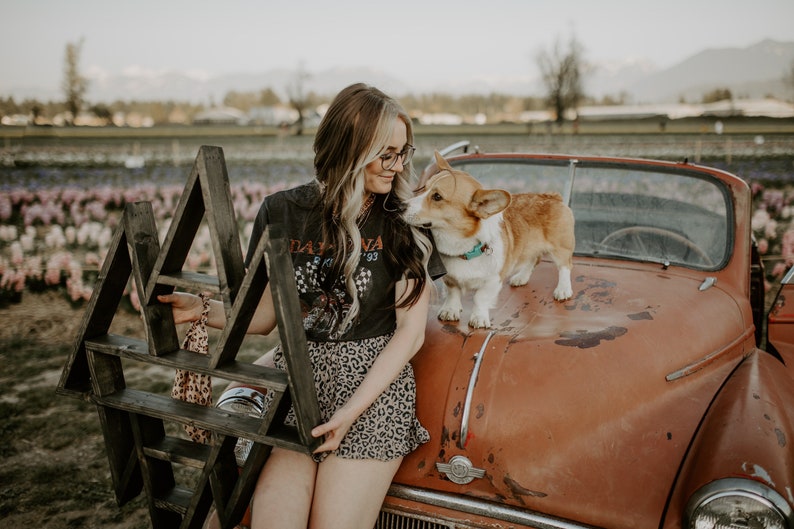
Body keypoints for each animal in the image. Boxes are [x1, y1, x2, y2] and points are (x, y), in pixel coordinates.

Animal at [406, 151, 572, 328]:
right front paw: (450, 310)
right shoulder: (450, 278)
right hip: (529, 247)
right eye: (423, 188)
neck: (465, 249)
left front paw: (479, 318)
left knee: (565, 266)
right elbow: (453, 292)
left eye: (437, 197)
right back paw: (521, 277)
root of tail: (552, 196)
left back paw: (563, 289)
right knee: (534, 259)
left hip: (560, 248)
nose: (400, 206)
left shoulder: (493, 280)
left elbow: (480, 298)